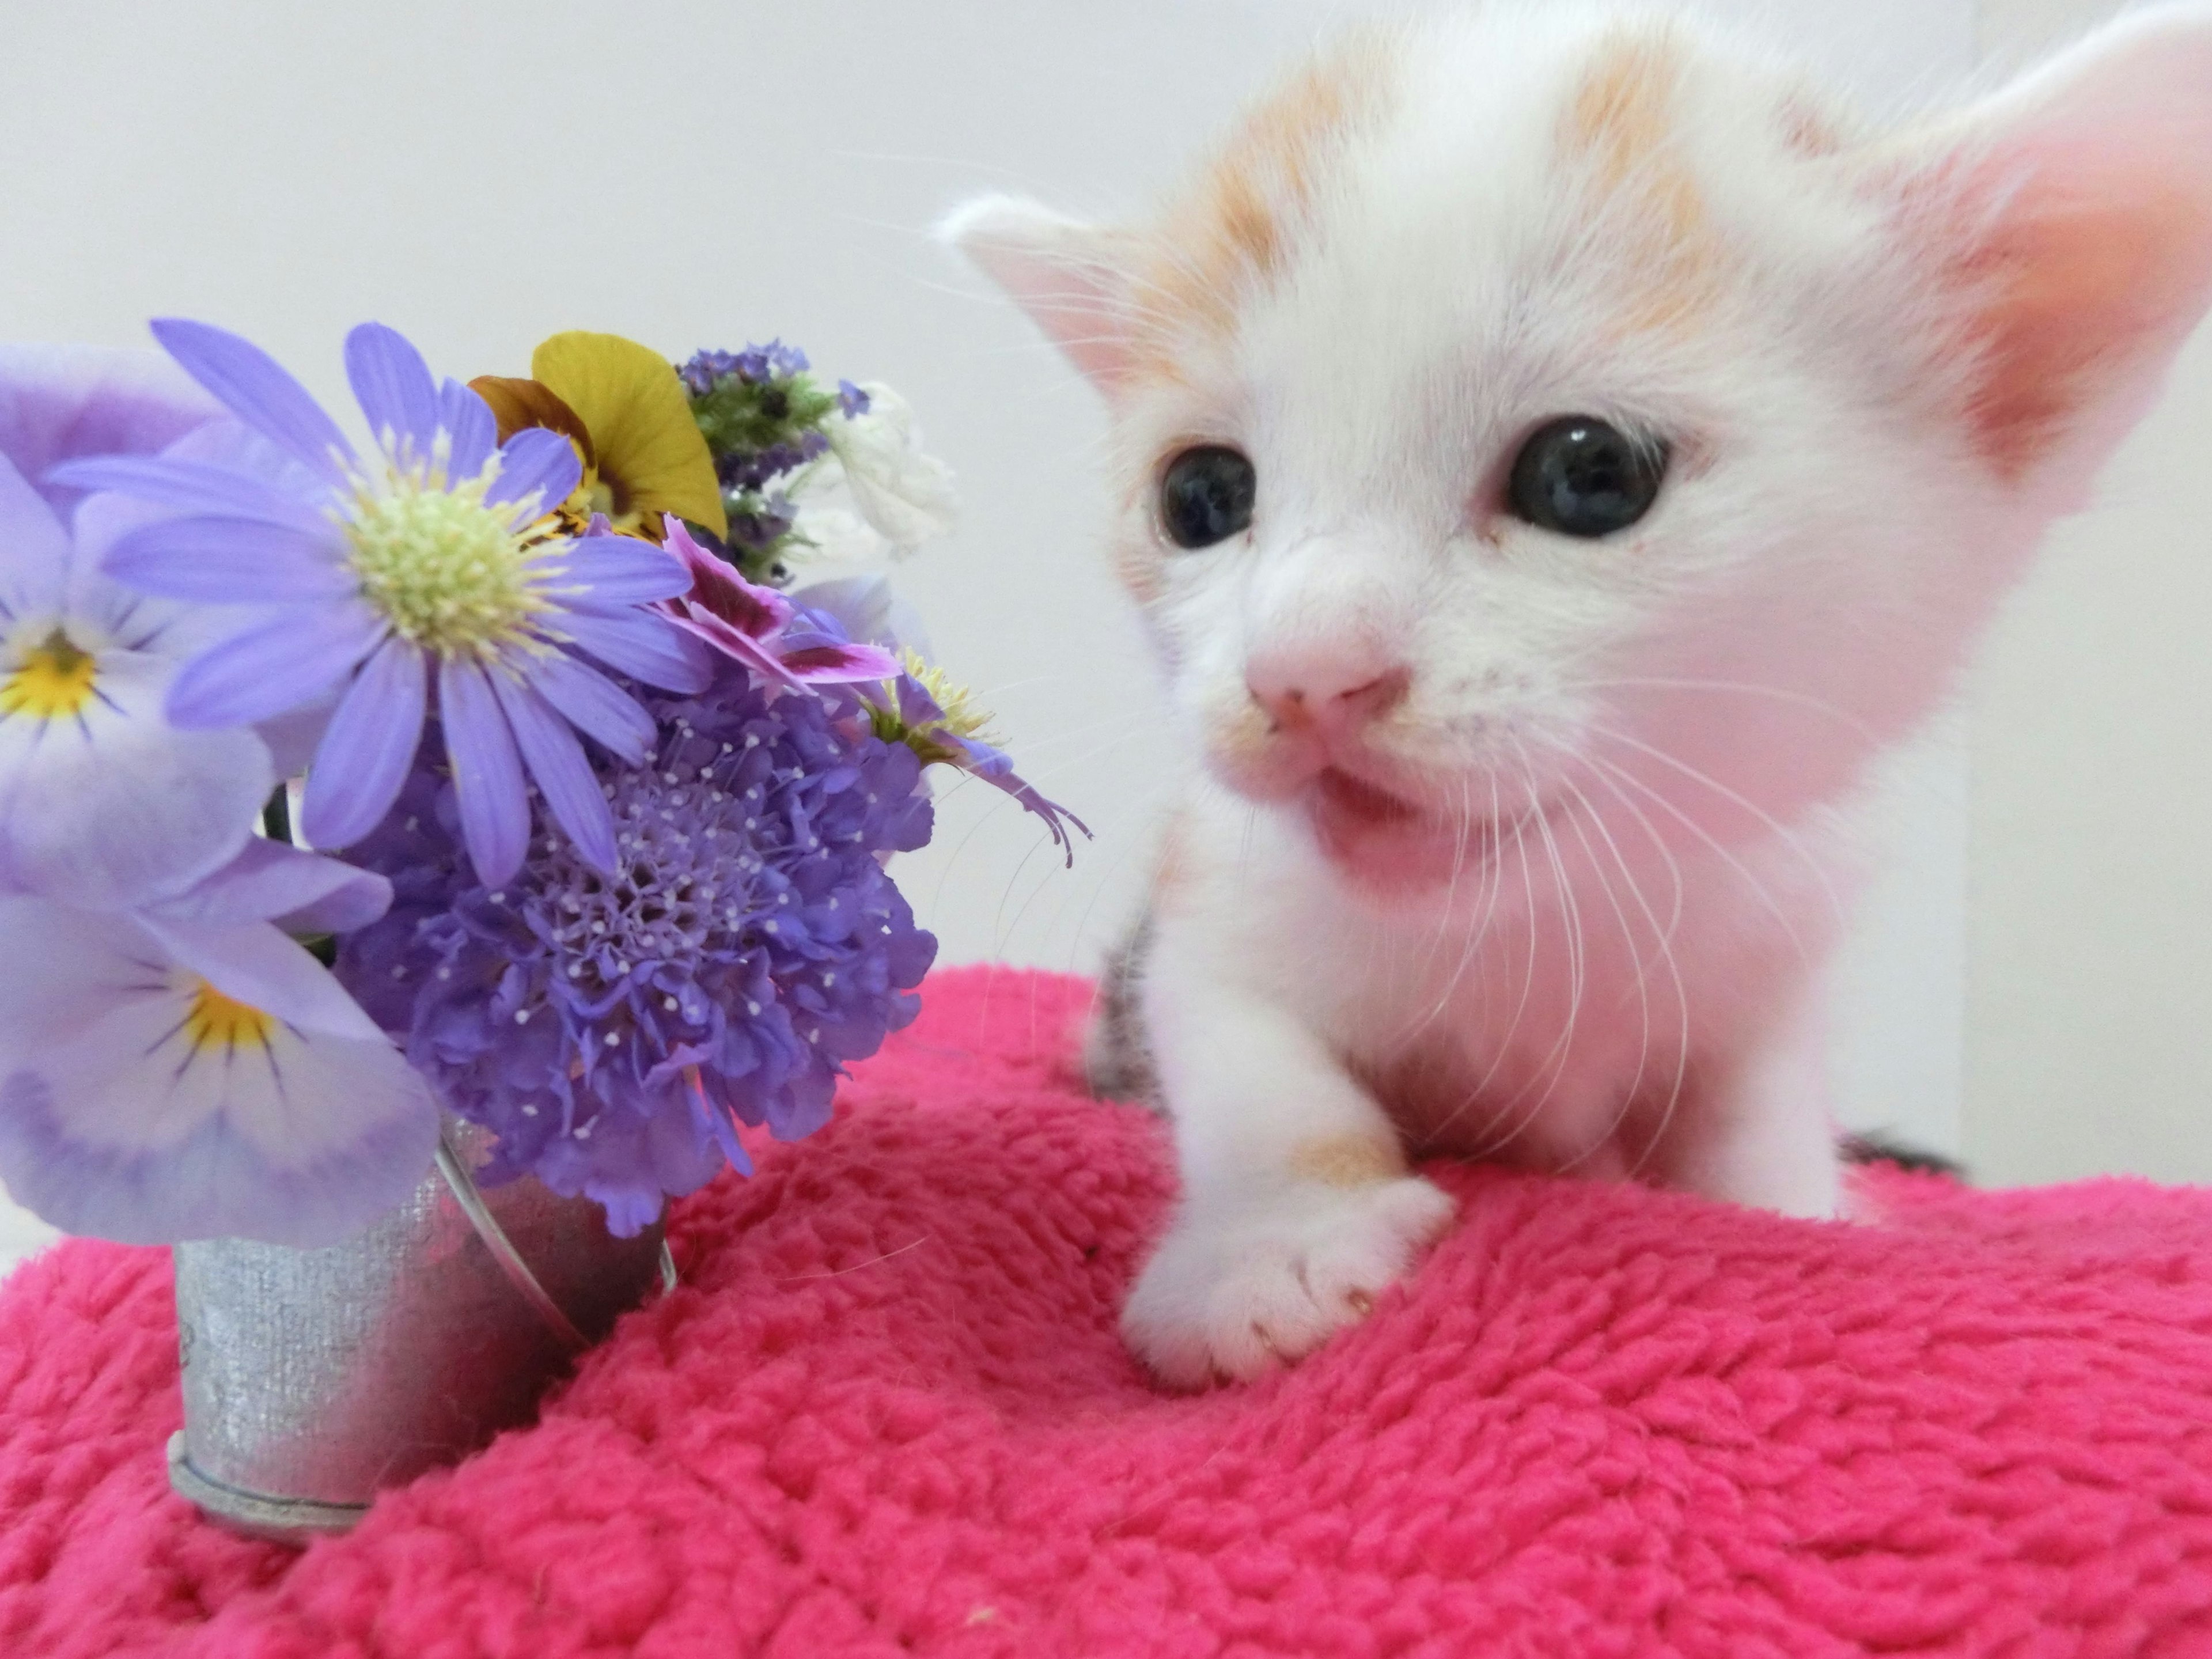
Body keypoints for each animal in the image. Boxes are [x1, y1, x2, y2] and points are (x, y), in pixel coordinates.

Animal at [942, 3, 2212, 1389]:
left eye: (1587, 473)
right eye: (1201, 496)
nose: (1306, 674)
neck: (1543, 917)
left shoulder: (1778, 914)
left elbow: (1757, 1110)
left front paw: (1794, 1206)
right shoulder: (1212, 897)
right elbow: (1254, 1063)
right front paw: (1274, 1245)